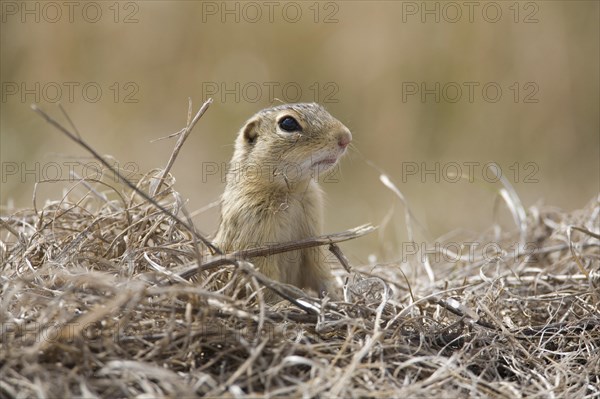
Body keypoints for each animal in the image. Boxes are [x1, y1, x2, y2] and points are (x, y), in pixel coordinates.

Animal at [213, 103, 352, 300]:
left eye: (319, 107)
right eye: (288, 123)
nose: (346, 137)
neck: (291, 193)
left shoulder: (313, 244)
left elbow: (321, 273)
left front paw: (335, 298)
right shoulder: (257, 249)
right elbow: (268, 285)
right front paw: (284, 302)